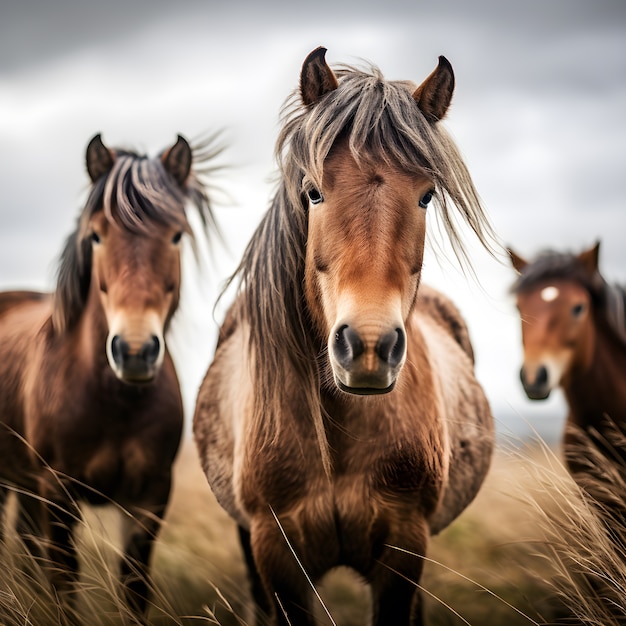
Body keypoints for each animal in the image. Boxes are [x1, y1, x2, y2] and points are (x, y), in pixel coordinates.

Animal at [0, 134, 217, 620]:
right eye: (97, 235)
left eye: (176, 235)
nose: (134, 352)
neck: (115, 402)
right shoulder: (57, 493)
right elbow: (64, 584)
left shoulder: (150, 497)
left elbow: (134, 587)